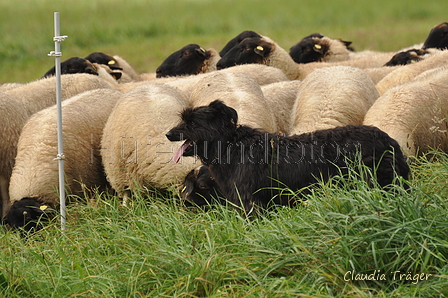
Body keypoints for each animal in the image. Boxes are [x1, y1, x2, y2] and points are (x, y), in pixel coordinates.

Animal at [165, 101, 410, 213]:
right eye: (183, 119)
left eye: (192, 123)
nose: (168, 134)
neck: (230, 146)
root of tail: (388, 140)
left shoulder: (251, 203)